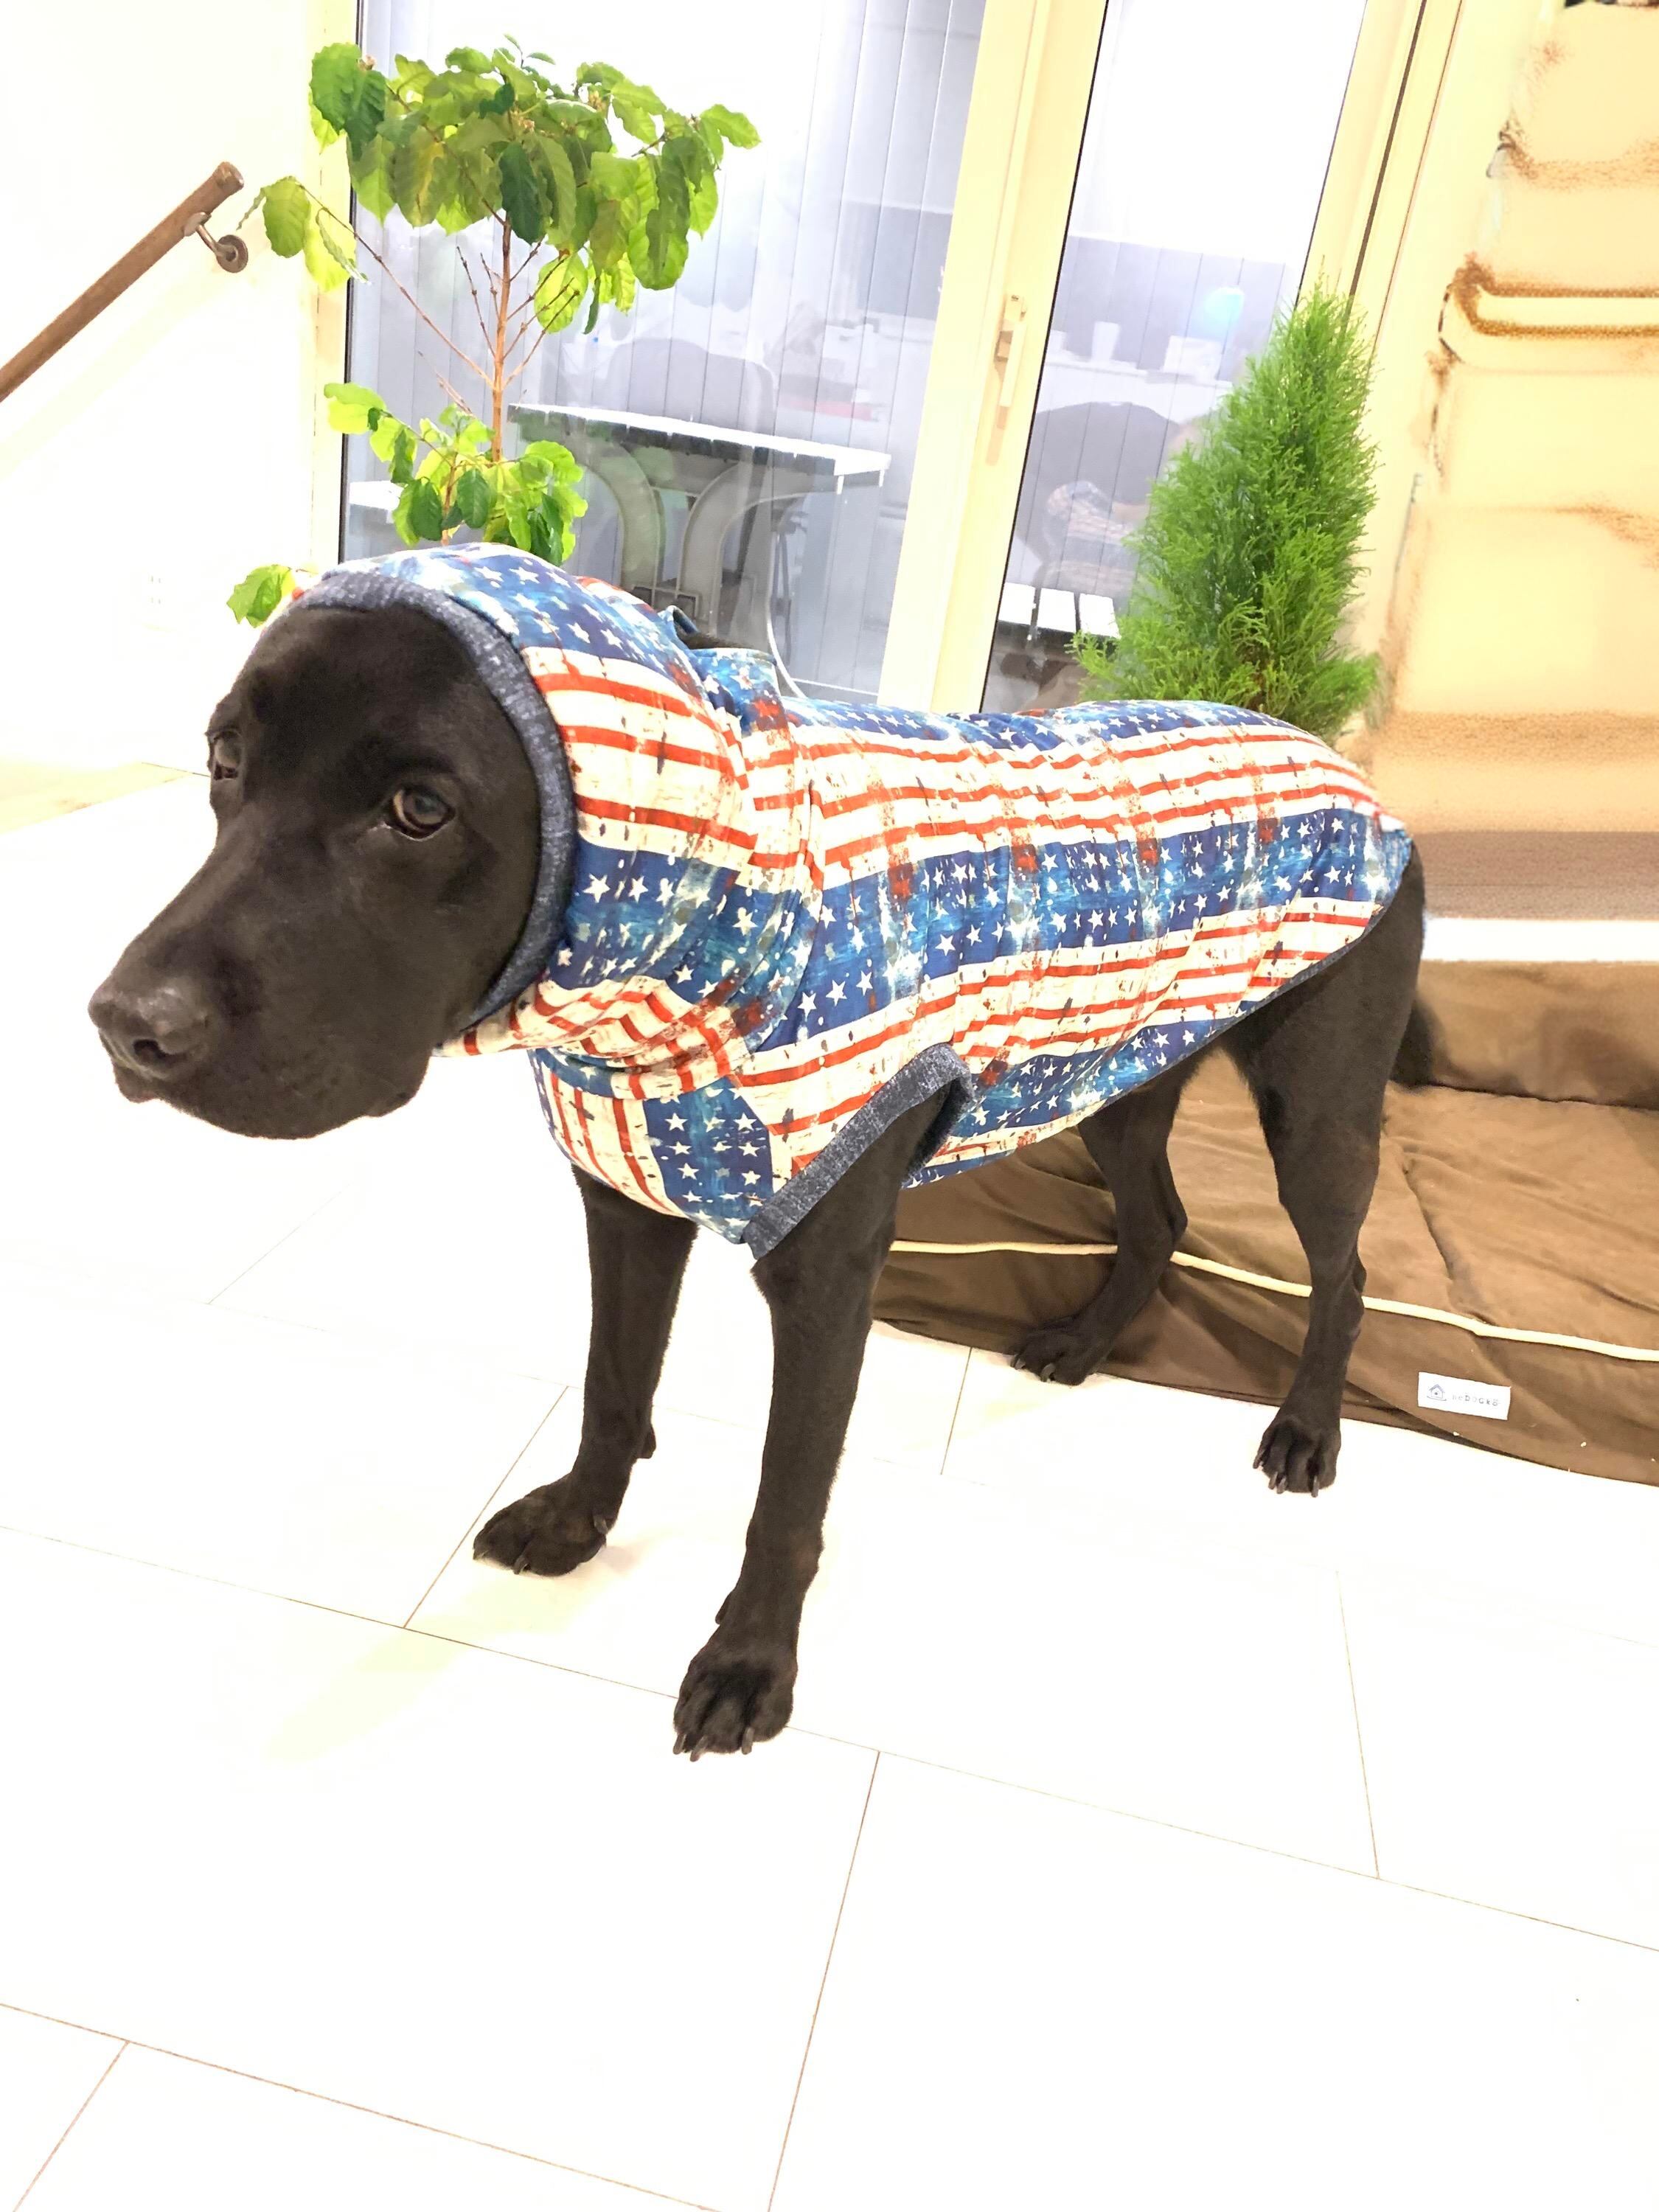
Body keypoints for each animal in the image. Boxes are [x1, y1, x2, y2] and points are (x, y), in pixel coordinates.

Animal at [90, 548, 1424, 1758]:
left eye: (419, 810)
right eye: (225, 764)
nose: (125, 1025)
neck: (721, 913)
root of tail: (1360, 782)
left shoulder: (825, 1274)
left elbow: (785, 1495)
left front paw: (747, 1665)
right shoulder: (626, 1201)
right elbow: (613, 1387)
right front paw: (579, 1522)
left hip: (1313, 1109)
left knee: (1345, 1274)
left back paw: (1307, 1434)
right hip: (1112, 1072)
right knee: (1160, 1222)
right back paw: (1086, 1346)